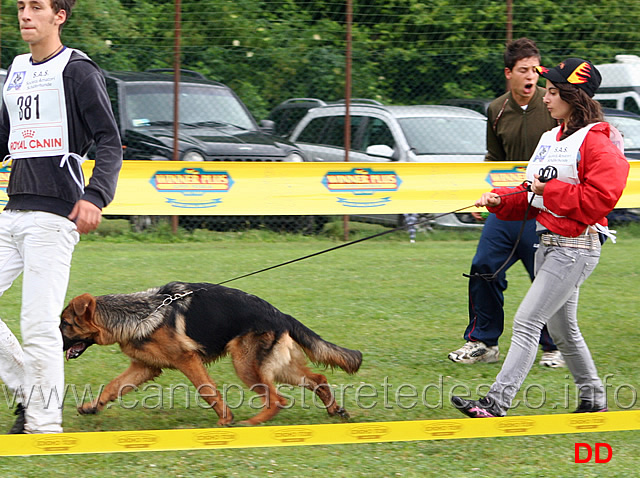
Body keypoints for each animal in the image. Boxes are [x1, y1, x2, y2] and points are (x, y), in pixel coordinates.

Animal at [62, 280, 362, 426]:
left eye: (65, 324)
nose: (56, 342)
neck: (142, 311)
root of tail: (281, 315)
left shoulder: (187, 360)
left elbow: (207, 390)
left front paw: (225, 419)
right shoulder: (144, 367)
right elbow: (112, 386)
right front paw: (91, 407)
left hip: (246, 366)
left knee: (278, 399)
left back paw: (251, 423)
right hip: (275, 367)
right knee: (318, 379)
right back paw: (334, 409)